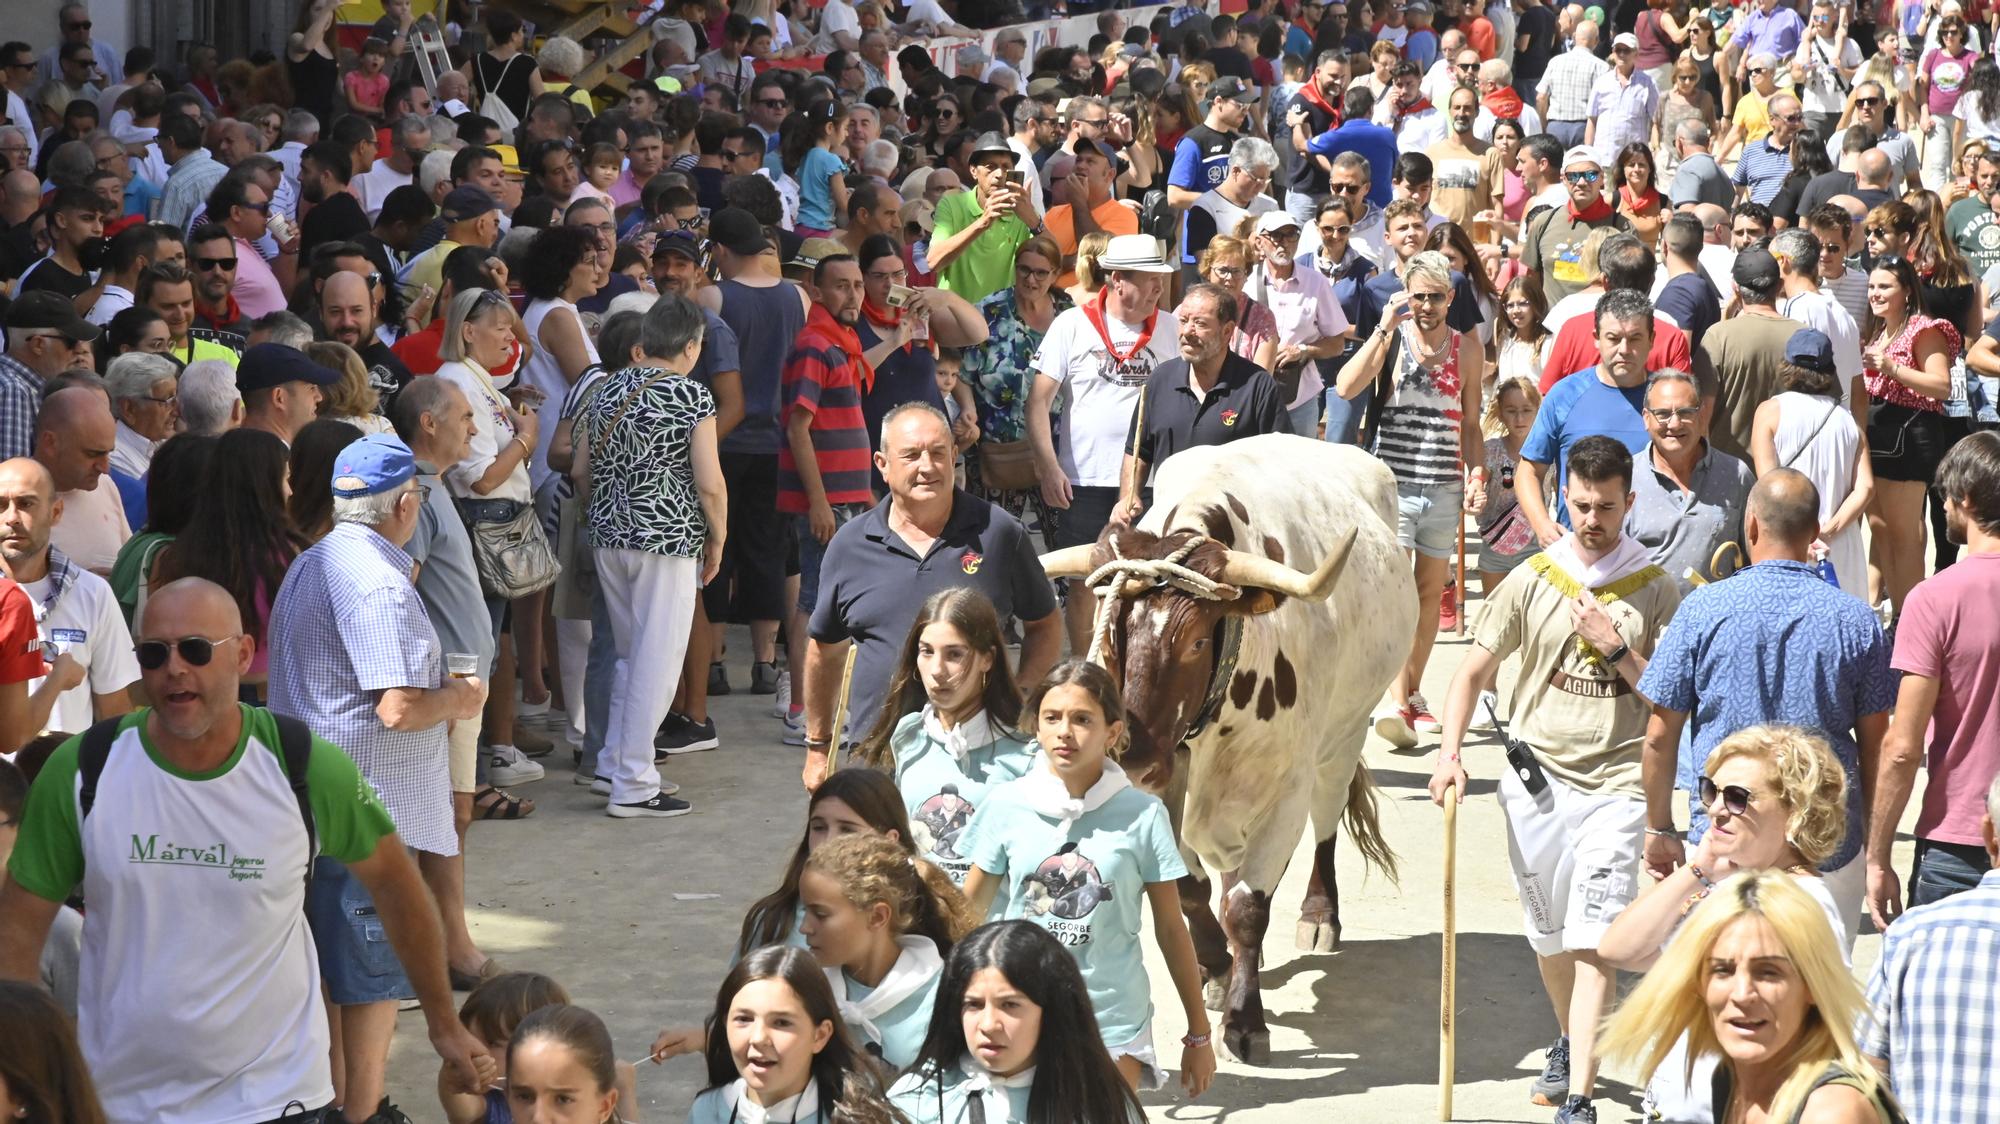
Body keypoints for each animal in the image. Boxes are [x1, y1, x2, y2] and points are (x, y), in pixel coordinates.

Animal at [1040, 434, 1416, 1064]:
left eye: (1196, 641)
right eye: (1108, 630)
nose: (1132, 758)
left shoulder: (1283, 794)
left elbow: (1247, 907)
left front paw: (1245, 1018)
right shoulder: (1169, 788)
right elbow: (1190, 890)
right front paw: (1215, 967)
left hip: (1343, 736)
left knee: (1326, 821)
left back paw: (1319, 914)